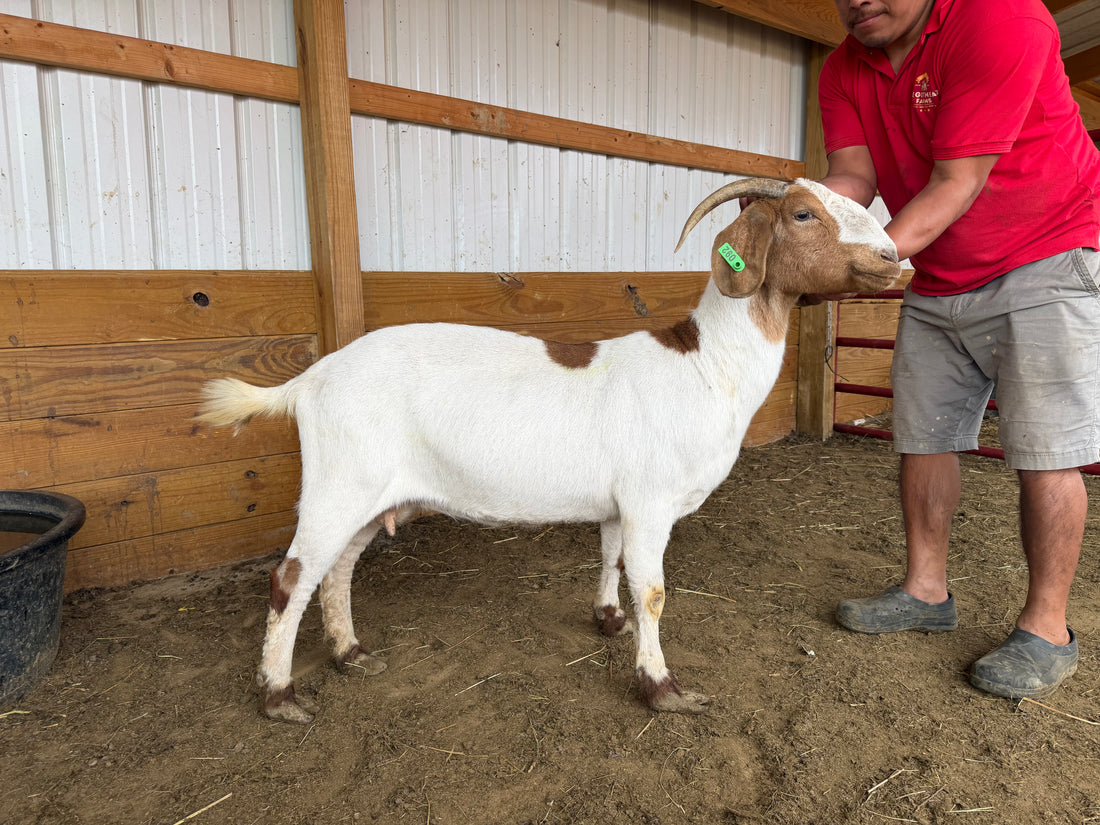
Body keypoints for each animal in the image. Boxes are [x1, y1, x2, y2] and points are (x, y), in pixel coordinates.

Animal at [196, 177, 900, 723]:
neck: (703, 365)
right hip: (339, 482)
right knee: (291, 577)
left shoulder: (620, 503)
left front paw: (609, 621)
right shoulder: (650, 500)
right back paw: (279, 696)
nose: (894, 256)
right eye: (803, 213)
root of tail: (310, 380)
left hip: (370, 494)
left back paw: (351, 653)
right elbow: (653, 590)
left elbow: (612, 558)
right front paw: (663, 688)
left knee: (337, 568)